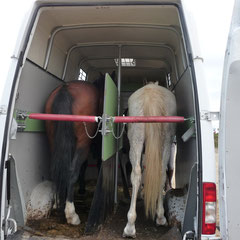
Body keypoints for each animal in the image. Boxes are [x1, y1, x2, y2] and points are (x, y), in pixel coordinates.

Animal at [124, 82, 176, 238]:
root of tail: (151, 93)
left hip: (136, 140)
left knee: (137, 173)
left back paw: (130, 226)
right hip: (165, 141)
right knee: (161, 172)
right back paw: (160, 216)